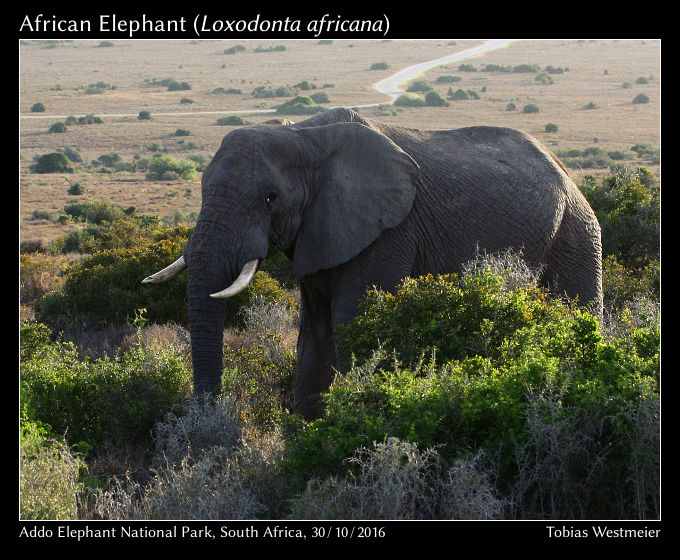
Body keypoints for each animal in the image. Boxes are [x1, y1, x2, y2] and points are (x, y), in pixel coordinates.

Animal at [146, 106, 604, 420]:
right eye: (201, 189)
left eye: (270, 198)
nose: (208, 429)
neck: (302, 134)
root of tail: (565, 170)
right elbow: (315, 335)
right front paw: (306, 435)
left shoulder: (388, 233)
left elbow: (353, 326)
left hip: (576, 229)